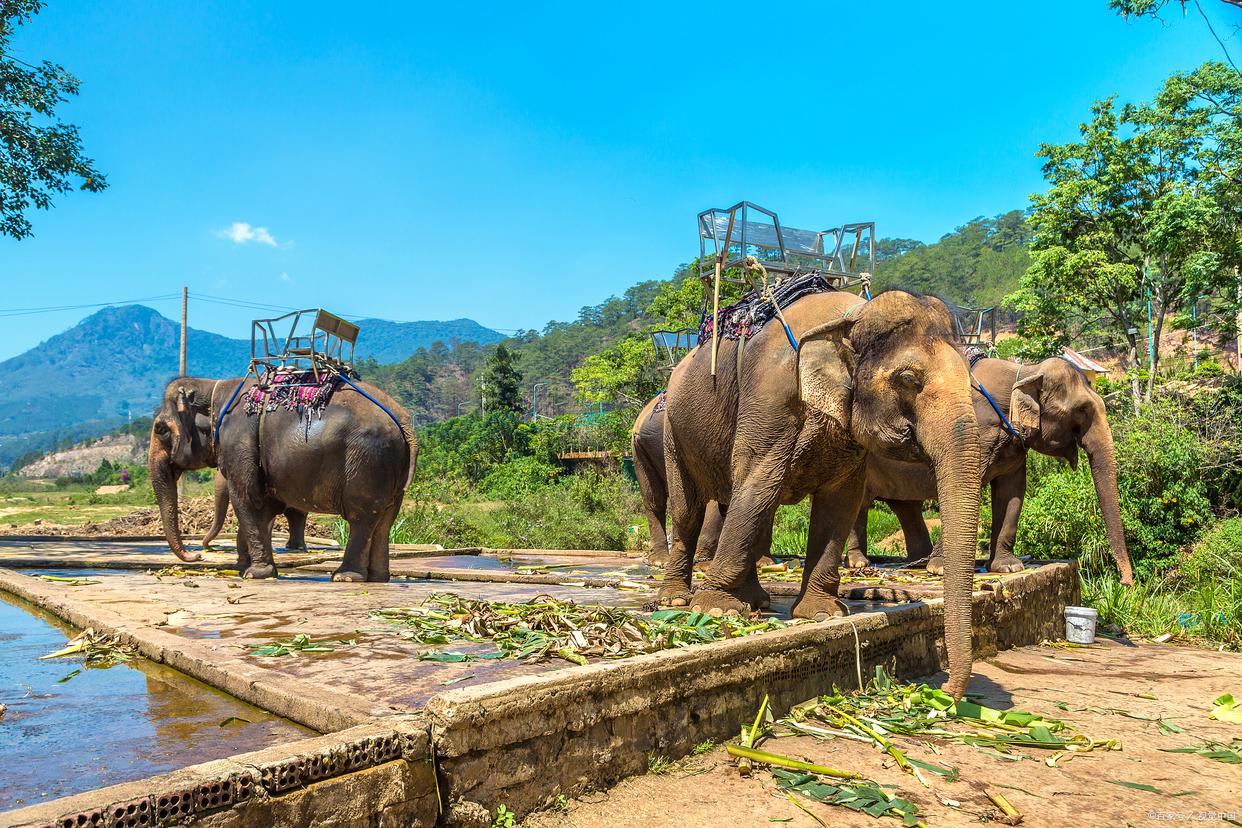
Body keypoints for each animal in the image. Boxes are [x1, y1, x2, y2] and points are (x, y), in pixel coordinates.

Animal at [149, 374, 412, 583]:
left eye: (160, 429)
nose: (197, 554)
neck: (211, 385)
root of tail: (404, 422)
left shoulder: (239, 442)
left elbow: (247, 498)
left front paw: (253, 574)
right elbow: (264, 506)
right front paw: (248, 569)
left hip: (366, 462)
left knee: (361, 517)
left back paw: (345, 577)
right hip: (390, 471)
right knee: (385, 520)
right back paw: (378, 577)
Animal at [665, 291, 983, 700]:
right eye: (909, 379)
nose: (944, 693)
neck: (849, 318)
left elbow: (839, 503)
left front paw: (822, 613)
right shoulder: (771, 400)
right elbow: (758, 482)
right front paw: (716, 610)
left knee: (744, 505)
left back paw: (756, 601)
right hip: (673, 430)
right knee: (691, 511)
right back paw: (678, 599)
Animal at [854, 355, 1137, 583]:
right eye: (1082, 409)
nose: (1126, 584)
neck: (1025, 371)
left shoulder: (1014, 445)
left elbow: (1012, 492)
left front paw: (1008, 568)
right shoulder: (975, 434)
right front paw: (941, 570)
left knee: (905, 505)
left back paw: (918, 561)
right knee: (862, 502)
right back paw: (860, 563)